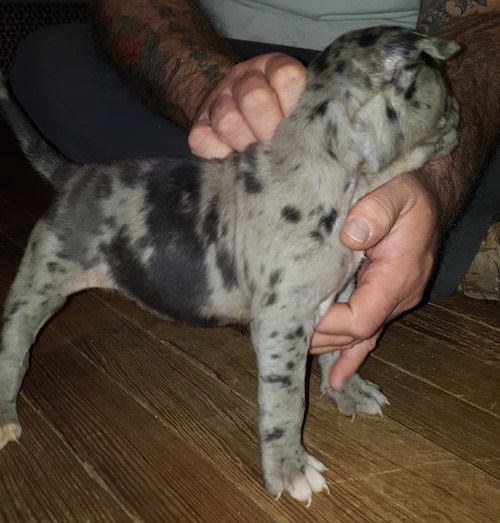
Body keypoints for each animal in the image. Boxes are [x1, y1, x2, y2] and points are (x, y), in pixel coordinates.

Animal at [0, 27, 458, 504]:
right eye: (441, 82)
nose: (460, 115)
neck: (340, 175)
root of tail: (74, 176)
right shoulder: (281, 323)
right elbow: (286, 401)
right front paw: (288, 468)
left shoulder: (339, 294)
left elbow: (338, 351)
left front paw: (345, 387)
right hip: (39, 285)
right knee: (13, 350)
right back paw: (6, 415)